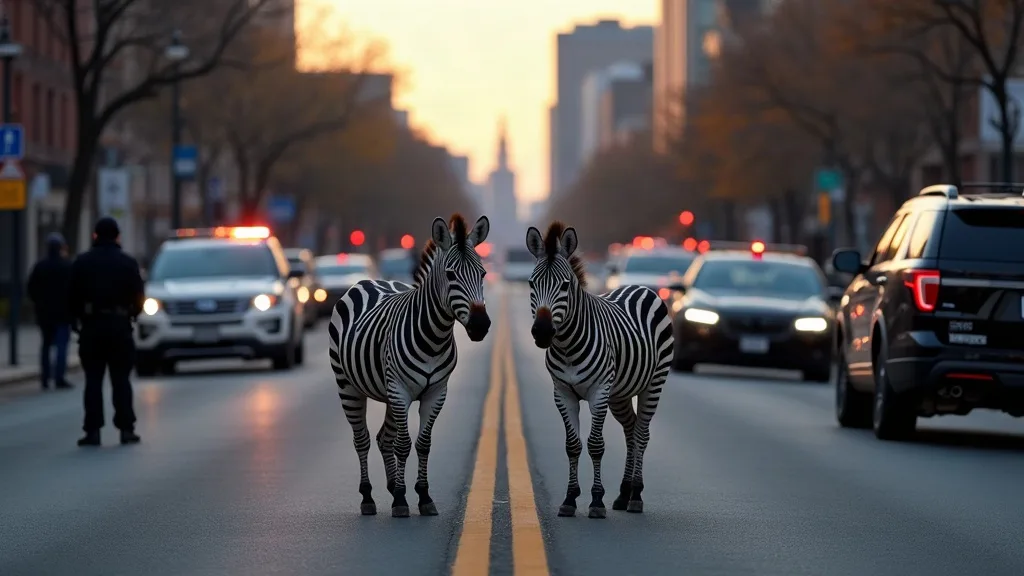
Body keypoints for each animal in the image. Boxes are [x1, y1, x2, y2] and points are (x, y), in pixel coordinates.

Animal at [328, 214, 491, 517]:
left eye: (483, 274)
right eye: (450, 275)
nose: (480, 325)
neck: (434, 337)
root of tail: (369, 280)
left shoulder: (436, 392)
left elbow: (423, 444)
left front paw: (422, 496)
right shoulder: (401, 390)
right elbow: (403, 445)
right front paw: (402, 501)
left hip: (389, 393)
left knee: (383, 438)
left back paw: (393, 486)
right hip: (349, 386)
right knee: (362, 440)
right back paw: (368, 497)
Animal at [525, 221, 673, 518]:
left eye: (565, 285)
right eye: (532, 283)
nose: (542, 332)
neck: (567, 345)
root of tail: (640, 286)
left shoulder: (598, 393)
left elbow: (596, 445)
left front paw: (596, 500)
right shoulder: (562, 393)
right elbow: (572, 446)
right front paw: (570, 498)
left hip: (653, 384)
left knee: (641, 434)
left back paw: (636, 495)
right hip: (620, 395)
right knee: (630, 432)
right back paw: (624, 494)